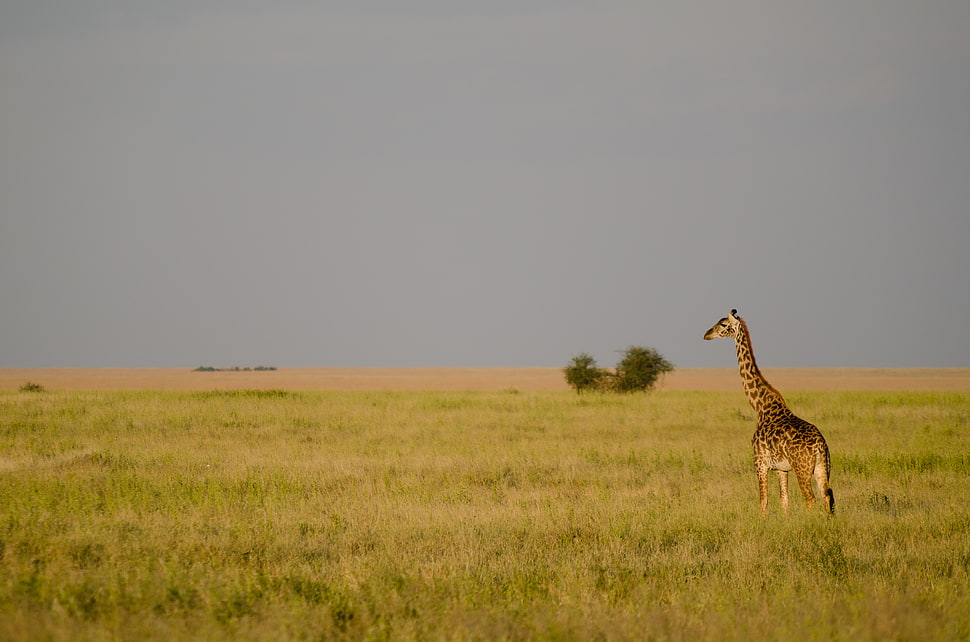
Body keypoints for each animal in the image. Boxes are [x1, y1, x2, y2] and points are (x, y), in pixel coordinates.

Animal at [704, 309, 834, 517]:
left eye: (723, 324)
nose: (707, 334)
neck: (760, 406)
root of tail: (819, 446)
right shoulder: (782, 468)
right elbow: (784, 501)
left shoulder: (760, 462)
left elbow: (763, 501)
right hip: (823, 467)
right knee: (827, 496)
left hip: (803, 468)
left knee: (810, 499)